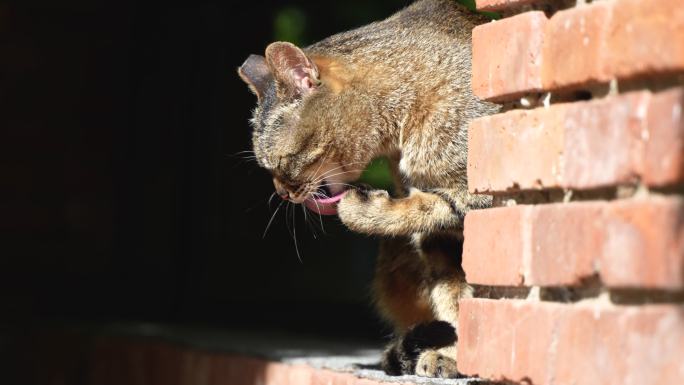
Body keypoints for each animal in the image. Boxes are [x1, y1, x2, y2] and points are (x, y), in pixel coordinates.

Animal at [239, 0, 496, 378]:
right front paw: (453, 353)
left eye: (280, 163)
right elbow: (454, 298)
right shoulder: (437, 244)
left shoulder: (485, 196)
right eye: (266, 168)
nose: (282, 193)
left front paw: (360, 209)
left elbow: (428, 209)